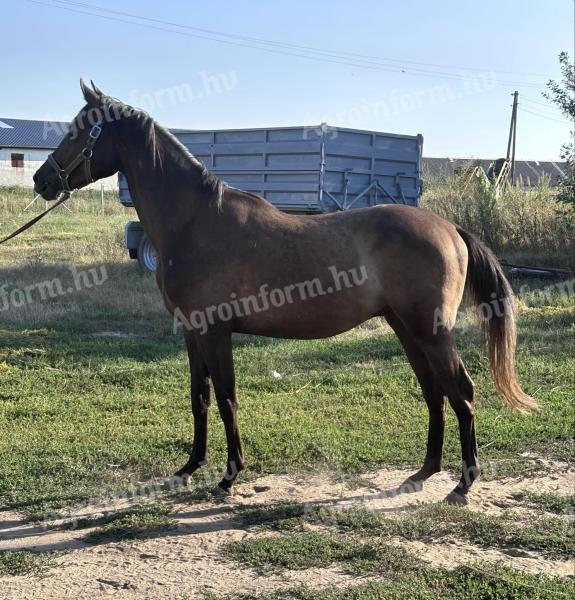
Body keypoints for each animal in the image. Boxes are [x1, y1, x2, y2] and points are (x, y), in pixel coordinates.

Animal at [31, 78, 536, 502]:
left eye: (79, 130)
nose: (42, 179)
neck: (194, 221)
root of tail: (450, 228)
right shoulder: (192, 332)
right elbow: (200, 399)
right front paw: (189, 468)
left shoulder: (215, 332)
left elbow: (227, 399)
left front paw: (229, 476)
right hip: (406, 329)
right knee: (435, 392)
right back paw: (422, 474)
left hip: (430, 331)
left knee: (461, 391)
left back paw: (463, 484)